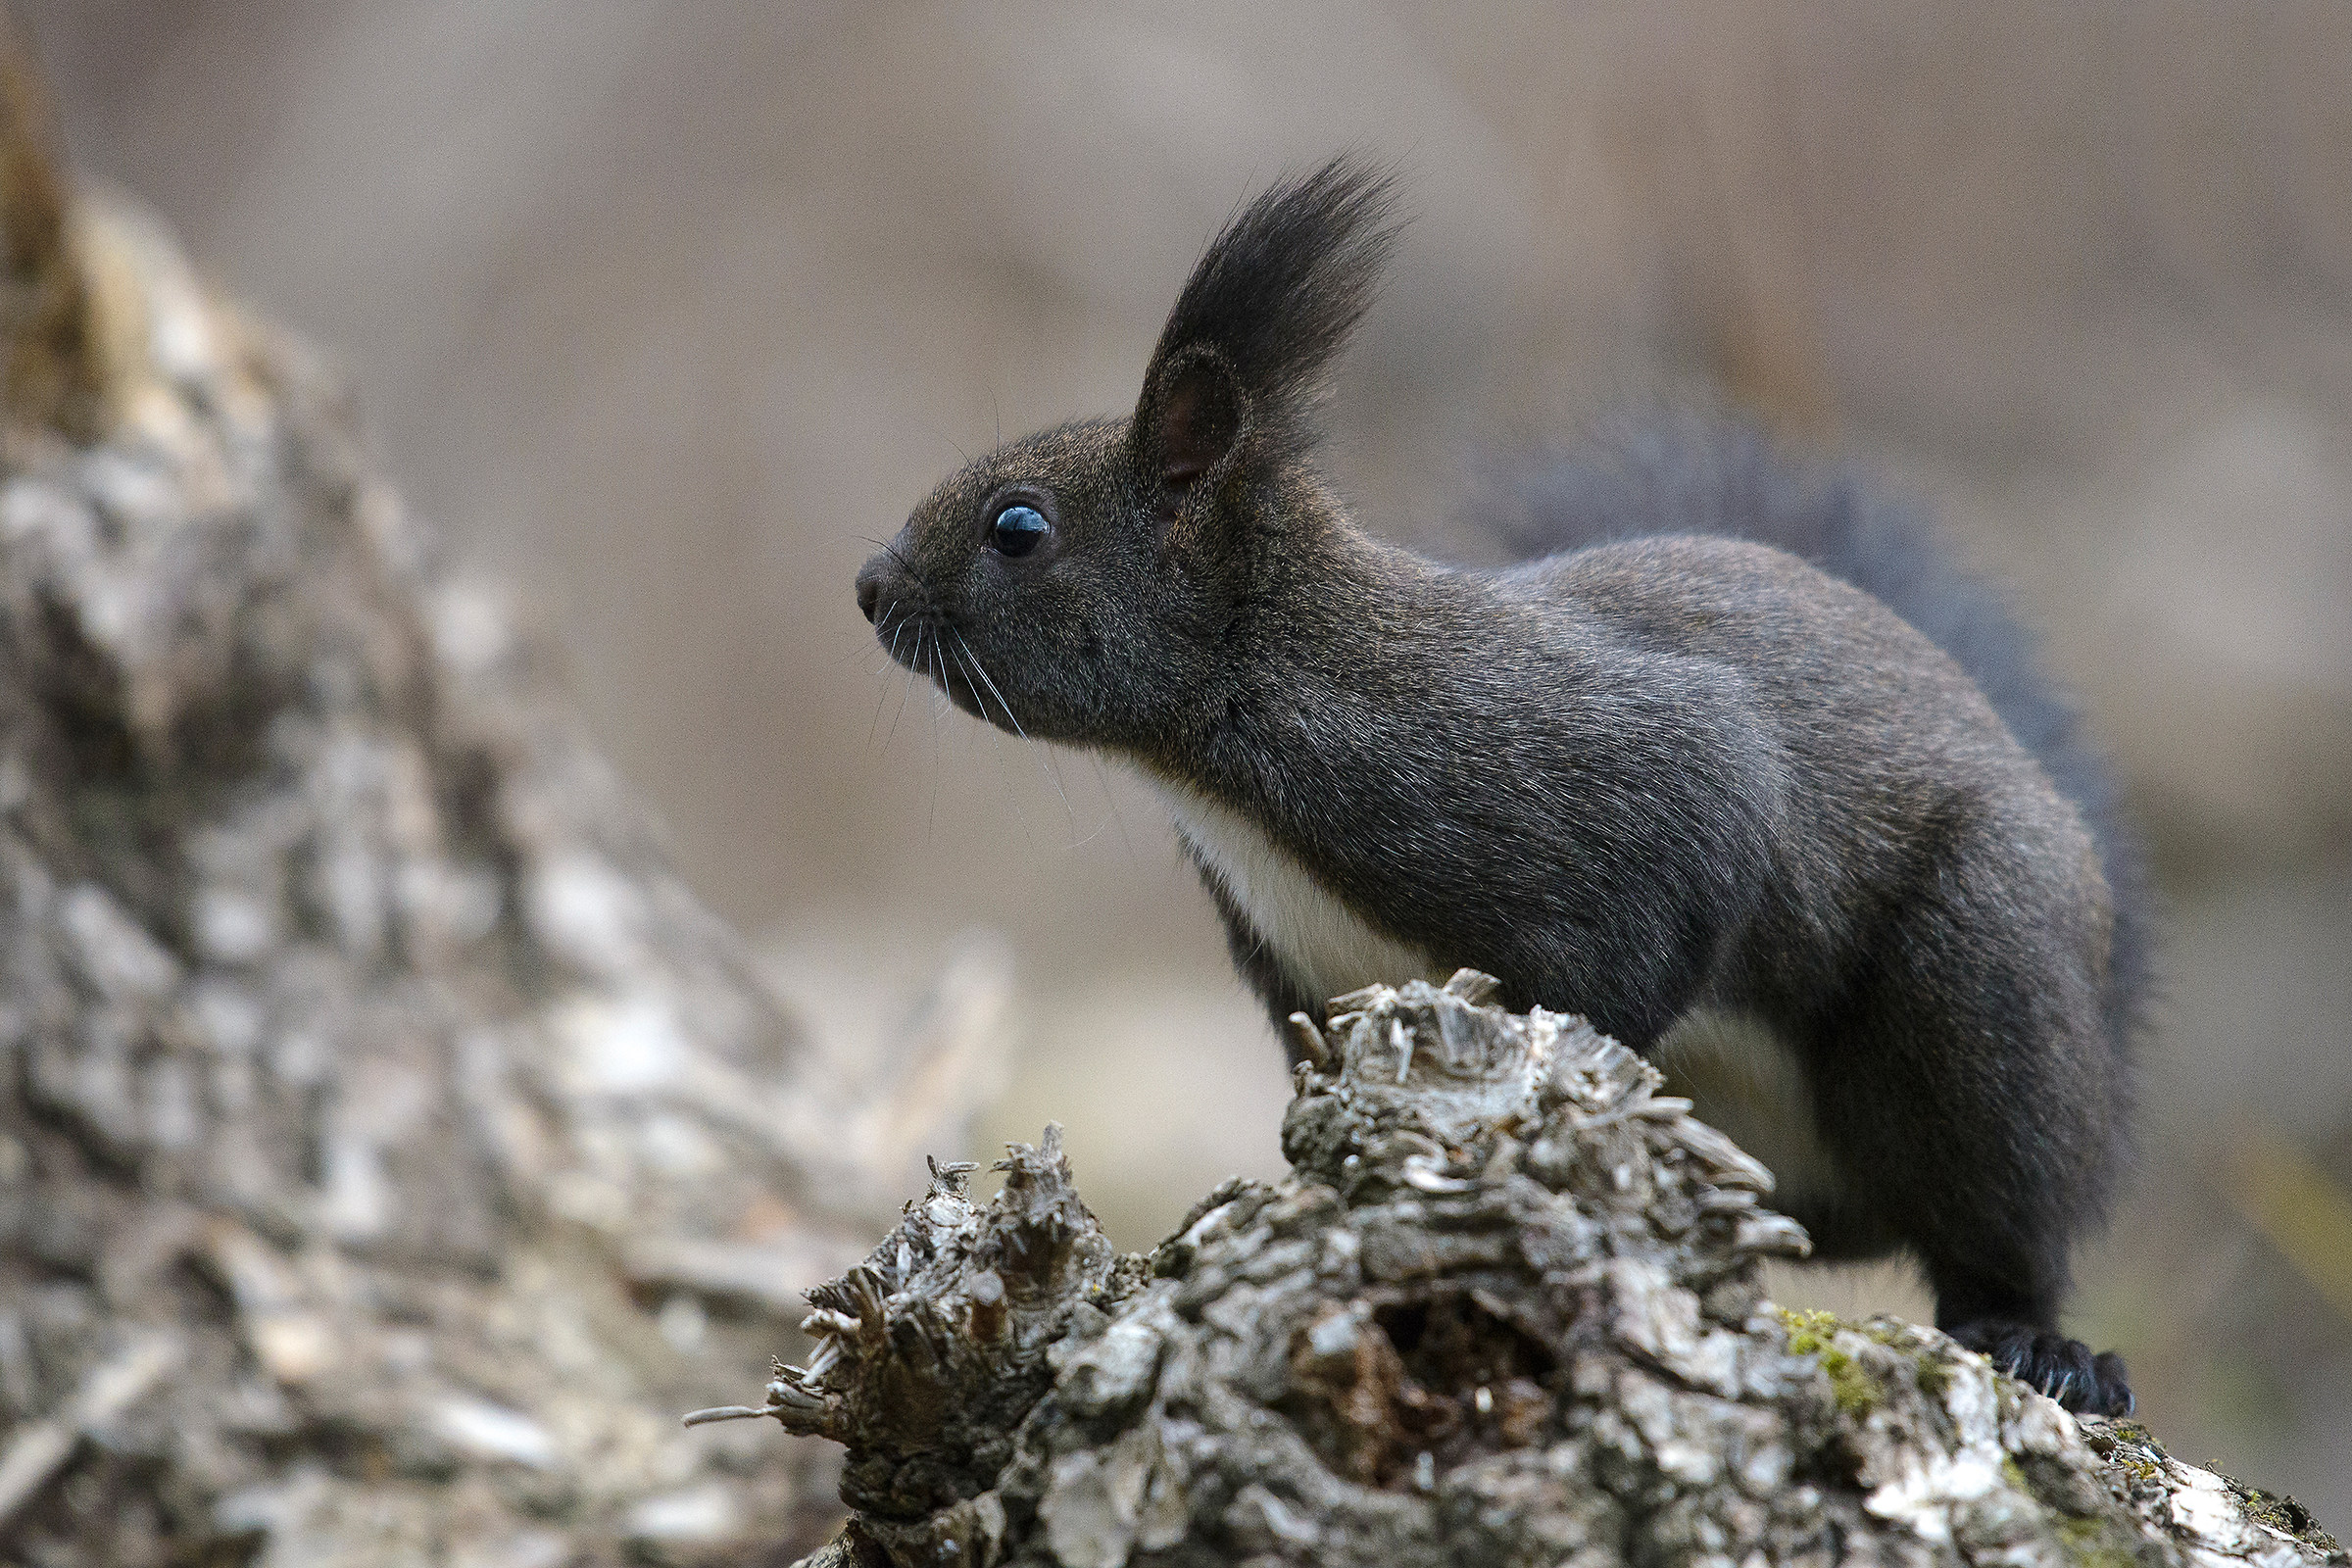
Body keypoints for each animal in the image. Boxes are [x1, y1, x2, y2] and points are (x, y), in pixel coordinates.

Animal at [854, 158, 2149, 1416]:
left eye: (1019, 527)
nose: (869, 586)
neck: (1263, 694)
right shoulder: (1312, 982)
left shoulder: (1596, 772)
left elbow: (1648, 935)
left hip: (1983, 987)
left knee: (2001, 1214)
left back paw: (2044, 1347)